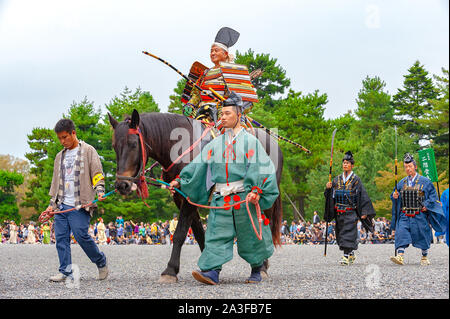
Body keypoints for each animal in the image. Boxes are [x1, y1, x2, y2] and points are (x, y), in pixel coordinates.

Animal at [107, 110, 284, 284]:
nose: (122, 185)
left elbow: (179, 234)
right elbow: (198, 233)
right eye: (115, 146)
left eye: (133, 144)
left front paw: (170, 270)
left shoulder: (191, 196)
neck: (179, 148)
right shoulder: (181, 198)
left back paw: (262, 267)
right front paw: (210, 266)